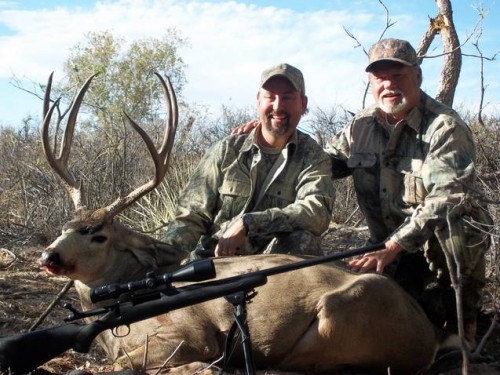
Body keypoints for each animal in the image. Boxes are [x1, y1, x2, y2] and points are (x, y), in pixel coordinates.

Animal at [39, 73, 446, 375]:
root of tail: (428, 335)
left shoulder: (188, 335)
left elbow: (136, 365)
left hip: (335, 316)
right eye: (64, 227)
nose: (48, 257)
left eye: (98, 235)